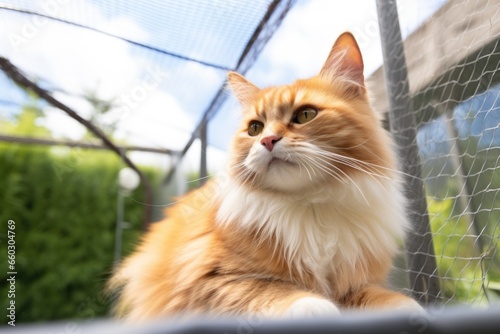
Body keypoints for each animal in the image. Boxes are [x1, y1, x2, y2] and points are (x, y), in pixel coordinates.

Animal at [108, 31, 422, 320]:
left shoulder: (354, 282)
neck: (310, 206)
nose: (268, 141)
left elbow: (389, 299)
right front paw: (313, 306)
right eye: (255, 128)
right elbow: (269, 290)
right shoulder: (209, 279)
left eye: (305, 115)